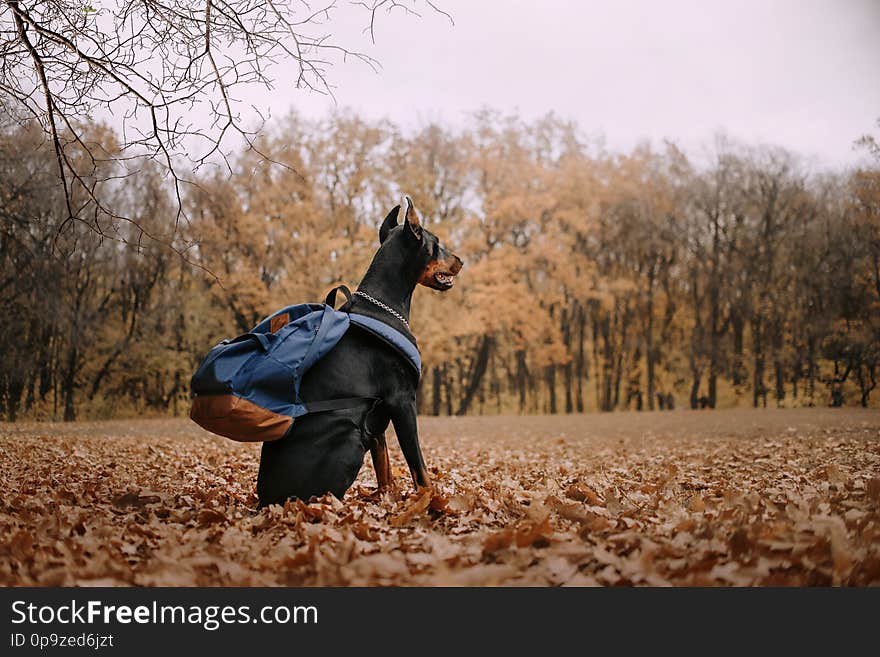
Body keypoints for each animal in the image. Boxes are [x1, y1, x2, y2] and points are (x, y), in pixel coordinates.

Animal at [254, 197, 460, 504]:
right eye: (436, 243)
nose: (460, 260)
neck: (384, 306)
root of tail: (266, 501)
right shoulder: (402, 401)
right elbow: (418, 466)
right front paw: (432, 501)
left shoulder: (377, 416)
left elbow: (384, 467)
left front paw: (388, 500)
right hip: (349, 435)